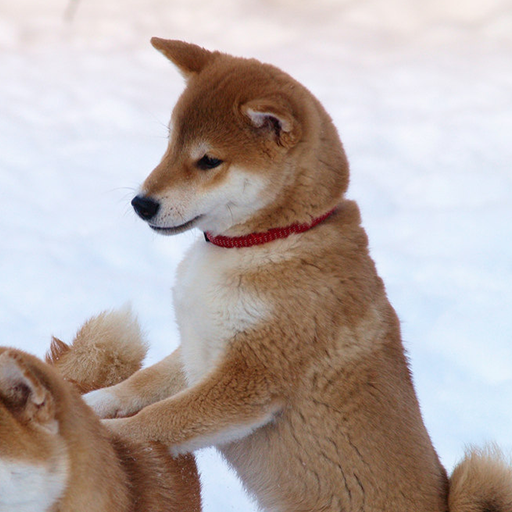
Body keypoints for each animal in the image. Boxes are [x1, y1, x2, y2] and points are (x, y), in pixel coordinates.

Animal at [86, 38, 512, 510]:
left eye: (209, 160)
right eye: (171, 145)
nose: (141, 204)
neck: (269, 240)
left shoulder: (249, 377)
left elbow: (157, 420)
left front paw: (107, 435)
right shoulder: (199, 348)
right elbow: (142, 383)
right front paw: (93, 400)